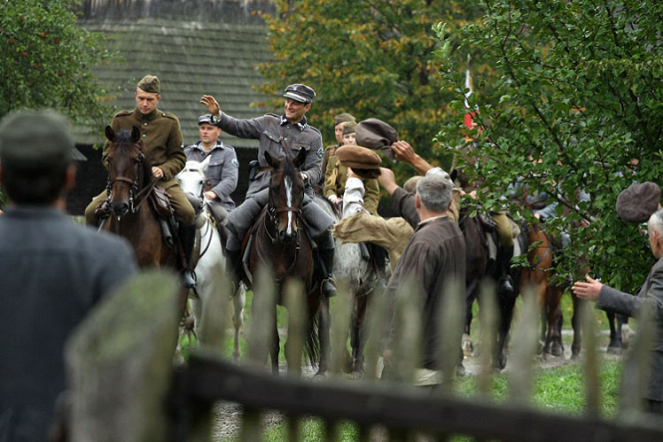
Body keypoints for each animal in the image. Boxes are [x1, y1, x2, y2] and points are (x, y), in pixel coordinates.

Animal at [176, 159, 246, 360]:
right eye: (179, 180)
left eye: (202, 181)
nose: (191, 205)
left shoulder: (209, 291)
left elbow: (205, 331)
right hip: (196, 299)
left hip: (238, 293)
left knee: (236, 321)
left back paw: (236, 355)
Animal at [245, 150, 328, 374]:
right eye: (274, 187)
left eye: (301, 187)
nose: (288, 233)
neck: (281, 250)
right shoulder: (264, 296)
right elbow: (273, 342)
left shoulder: (298, 298)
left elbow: (293, 346)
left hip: (315, 298)